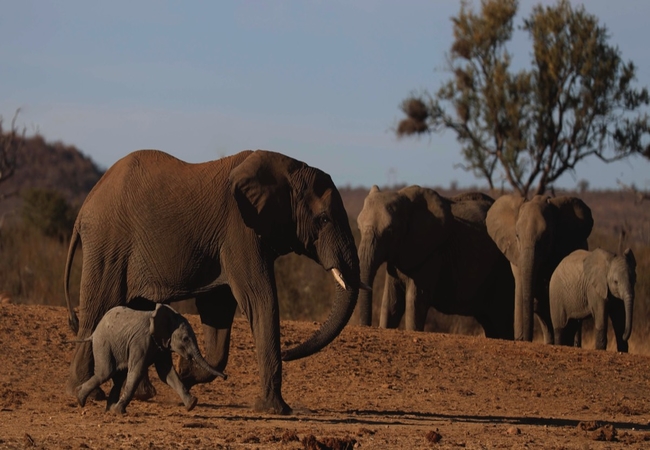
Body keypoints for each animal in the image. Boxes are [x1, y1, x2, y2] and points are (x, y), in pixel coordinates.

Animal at [76, 302, 225, 414]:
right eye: (185, 339)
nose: (225, 377)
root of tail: (94, 332)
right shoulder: (141, 341)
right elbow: (137, 371)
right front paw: (119, 412)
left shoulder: (162, 346)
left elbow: (167, 374)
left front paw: (192, 404)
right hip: (103, 343)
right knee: (105, 372)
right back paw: (81, 400)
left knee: (118, 377)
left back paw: (108, 410)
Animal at [354, 184, 512, 338]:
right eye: (359, 228)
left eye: (390, 231)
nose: (365, 325)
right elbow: (391, 303)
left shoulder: (432, 254)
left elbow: (415, 301)